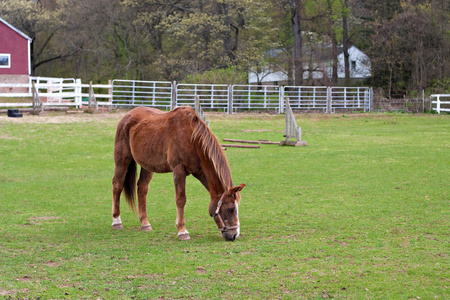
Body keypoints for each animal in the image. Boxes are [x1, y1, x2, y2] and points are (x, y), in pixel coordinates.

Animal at [112, 106, 246, 241]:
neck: (192, 138)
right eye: (230, 208)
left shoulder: (201, 172)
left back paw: (145, 223)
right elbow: (181, 200)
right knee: (117, 185)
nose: (234, 235)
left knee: (142, 188)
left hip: (147, 165)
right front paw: (182, 231)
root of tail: (128, 115)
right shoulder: (179, 170)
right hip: (122, 161)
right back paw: (116, 221)